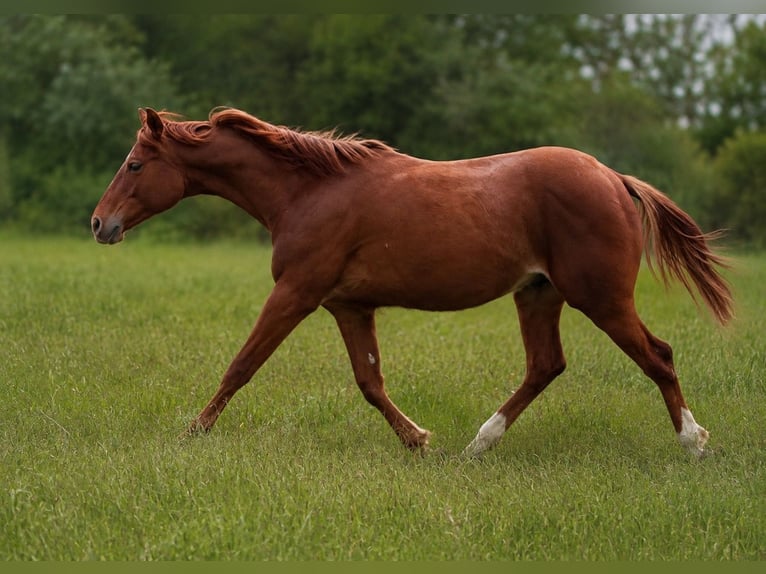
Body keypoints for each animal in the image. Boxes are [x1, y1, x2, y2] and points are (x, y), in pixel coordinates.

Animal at [91, 107, 733, 458]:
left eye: (135, 164)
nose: (100, 223)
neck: (309, 192)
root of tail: (615, 178)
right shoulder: (348, 306)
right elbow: (370, 382)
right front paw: (420, 441)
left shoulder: (296, 293)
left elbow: (241, 366)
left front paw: (191, 435)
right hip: (538, 294)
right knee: (545, 366)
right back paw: (478, 444)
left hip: (600, 298)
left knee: (658, 355)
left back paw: (692, 441)